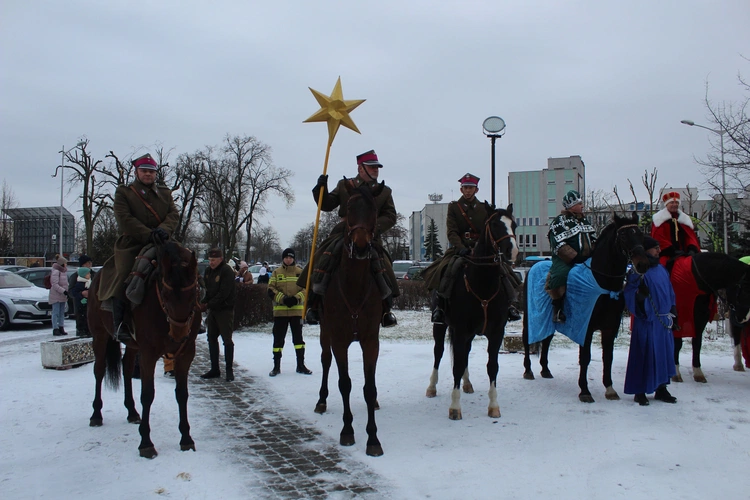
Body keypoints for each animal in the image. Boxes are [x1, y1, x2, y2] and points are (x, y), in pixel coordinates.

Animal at [87, 240, 203, 458]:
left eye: (193, 293)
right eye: (165, 294)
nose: (178, 334)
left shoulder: (185, 354)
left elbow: (182, 394)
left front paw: (186, 438)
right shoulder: (149, 354)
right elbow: (148, 394)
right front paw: (146, 443)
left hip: (133, 346)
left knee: (126, 368)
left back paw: (132, 412)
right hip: (100, 336)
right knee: (98, 371)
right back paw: (96, 414)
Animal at [312, 183, 384, 458]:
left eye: (374, 209)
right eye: (350, 207)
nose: (362, 246)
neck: (354, 285)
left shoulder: (370, 341)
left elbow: (369, 387)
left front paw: (373, 438)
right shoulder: (339, 340)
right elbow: (345, 383)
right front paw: (347, 431)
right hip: (325, 332)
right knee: (325, 361)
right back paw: (321, 400)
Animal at [440, 205, 516, 420]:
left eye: (514, 224)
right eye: (495, 225)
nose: (512, 250)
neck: (483, 284)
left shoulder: (497, 332)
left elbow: (492, 366)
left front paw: (494, 406)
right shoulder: (459, 330)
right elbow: (457, 365)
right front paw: (455, 407)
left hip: (470, 334)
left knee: (465, 353)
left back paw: (467, 384)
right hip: (441, 326)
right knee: (438, 353)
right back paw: (431, 388)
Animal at [524, 214, 652, 398]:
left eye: (640, 234)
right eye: (623, 236)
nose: (643, 264)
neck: (603, 283)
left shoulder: (610, 329)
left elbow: (608, 357)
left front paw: (609, 388)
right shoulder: (586, 327)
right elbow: (585, 358)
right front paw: (584, 390)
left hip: (549, 320)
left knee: (547, 340)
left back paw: (545, 369)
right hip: (531, 316)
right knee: (527, 338)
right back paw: (528, 370)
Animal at [672, 252, 750, 384]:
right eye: (745, 290)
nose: (745, 318)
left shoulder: (701, 318)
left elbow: (697, 343)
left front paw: (698, 373)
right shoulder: (678, 318)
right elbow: (677, 344)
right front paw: (676, 373)